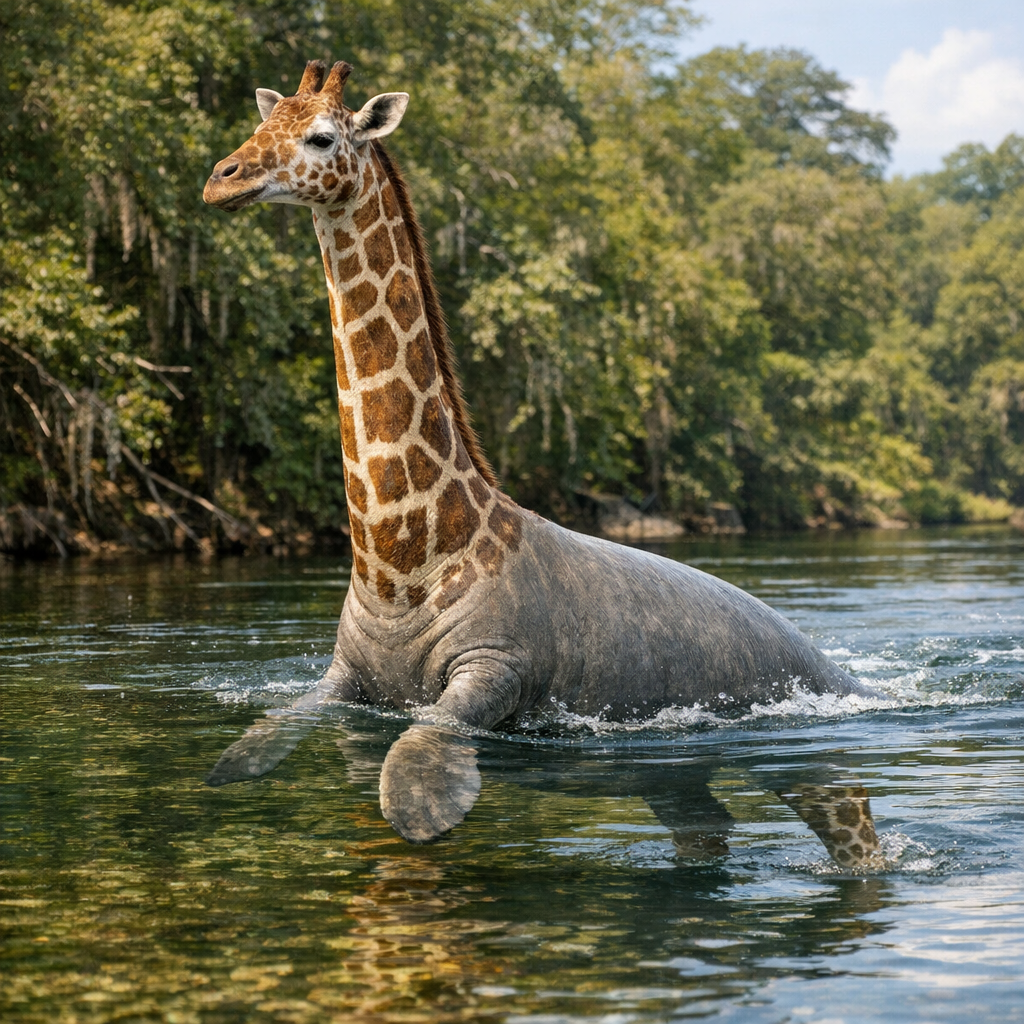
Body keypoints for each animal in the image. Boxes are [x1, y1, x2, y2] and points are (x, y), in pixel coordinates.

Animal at [203, 60, 884, 869]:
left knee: (857, 827)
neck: (399, 560)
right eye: (262, 124)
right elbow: (277, 725)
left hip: (815, 768)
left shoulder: (490, 673)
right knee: (707, 828)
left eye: (320, 136)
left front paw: (426, 818)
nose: (221, 178)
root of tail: (841, 671)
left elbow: (416, 757)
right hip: (679, 783)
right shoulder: (345, 684)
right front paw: (235, 766)